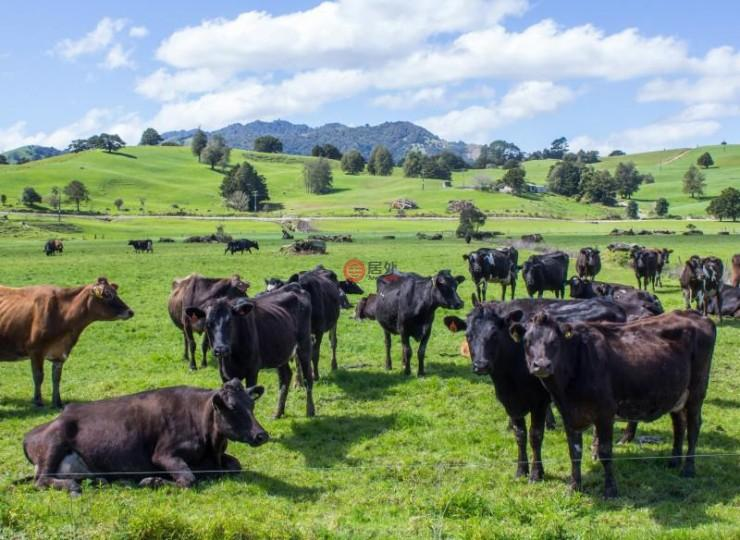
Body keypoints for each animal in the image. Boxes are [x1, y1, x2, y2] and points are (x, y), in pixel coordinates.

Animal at [0, 276, 134, 408]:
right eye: (107, 294)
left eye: (115, 292)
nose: (130, 311)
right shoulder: (36, 350)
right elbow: (38, 376)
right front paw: (38, 402)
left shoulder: (60, 353)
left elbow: (56, 377)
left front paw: (57, 402)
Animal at [24, 380, 270, 494]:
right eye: (233, 408)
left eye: (252, 404)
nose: (262, 435)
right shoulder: (163, 454)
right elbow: (188, 479)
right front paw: (152, 481)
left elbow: (235, 464)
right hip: (53, 444)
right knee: (41, 480)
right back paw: (73, 486)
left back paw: (98, 480)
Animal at [188, 284, 316, 420]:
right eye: (208, 324)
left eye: (230, 321)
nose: (221, 349)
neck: (232, 357)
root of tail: (295, 287)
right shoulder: (224, 374)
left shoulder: (252, 371)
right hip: (280, 351)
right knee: (285, 377)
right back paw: (278, 413)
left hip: (304, 344)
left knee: (308, 377)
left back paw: (310, 411)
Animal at [516, 308, 716, 498]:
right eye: (527, 342)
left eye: (555, 342)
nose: (542, 365)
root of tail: (695, 314)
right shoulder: (569, 414)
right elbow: (574, 452)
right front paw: (573, 487)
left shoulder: (605, 413)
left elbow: (605, 452)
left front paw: (610, 490)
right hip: (676, 392)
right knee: (679, 424)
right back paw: (674, 461)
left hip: (697, 391)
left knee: (693, 427)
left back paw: (688, 468)